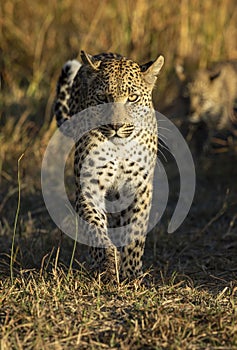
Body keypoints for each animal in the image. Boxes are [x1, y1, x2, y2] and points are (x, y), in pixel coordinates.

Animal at [54, 50, 165, 280]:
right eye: (103, 98)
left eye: (132, 98)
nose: (116, 126)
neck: (119, 149)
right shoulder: (89, 186)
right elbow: (95, 227)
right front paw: (108, 263)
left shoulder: (139, 188)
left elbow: (135, 233)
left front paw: (131, 273)